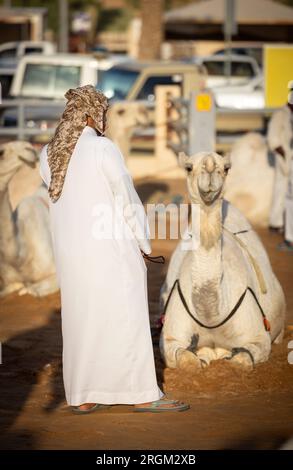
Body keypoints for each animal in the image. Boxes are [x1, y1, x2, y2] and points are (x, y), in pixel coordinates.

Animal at [159, 151, 284, 370]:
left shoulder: (259, 338)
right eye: (189, 167)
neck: (212, 317)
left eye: (226, 168)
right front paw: (201, 359)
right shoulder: (169, 338)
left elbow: (241, 361)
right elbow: (186, 360)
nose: (210, 167)